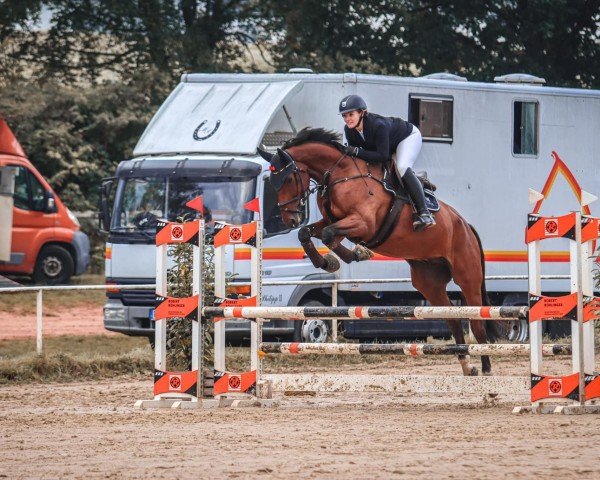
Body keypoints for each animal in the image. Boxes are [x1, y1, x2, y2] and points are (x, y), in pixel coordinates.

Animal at [258, 127, 506, 376]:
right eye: (273, 184)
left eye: (289, 178)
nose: (290, 219)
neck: (340, 173)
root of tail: (466, 226)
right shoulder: (333, 221)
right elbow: (308, 233)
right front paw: (329, 262)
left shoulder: (363, 223)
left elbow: (328, 235)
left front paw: (355, 254)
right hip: (429, 282)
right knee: (452, 318)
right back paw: (467, 365)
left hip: (467, 276)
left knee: (477, 321)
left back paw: (486, 368)